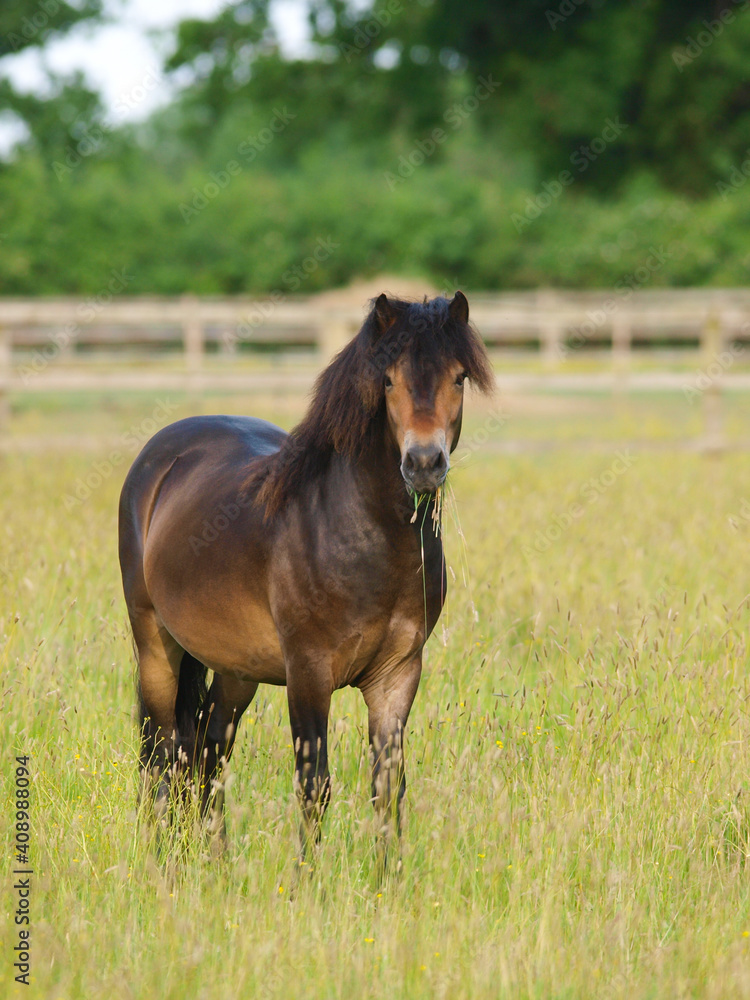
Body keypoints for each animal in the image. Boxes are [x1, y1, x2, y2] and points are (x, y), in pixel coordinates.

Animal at [118, 291, 493, 868]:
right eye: (388, 381)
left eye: (458, 377)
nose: (424, 462)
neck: (364, 536)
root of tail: (159, 460)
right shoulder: (309, 672)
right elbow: (314, 784)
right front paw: (307, 881)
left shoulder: (397, 675)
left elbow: (388, 784)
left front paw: (389, 880)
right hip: (156, 645)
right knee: (162, 755)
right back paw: (164, 862)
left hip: (237, 669)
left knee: (208, 751)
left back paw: (216, 864)